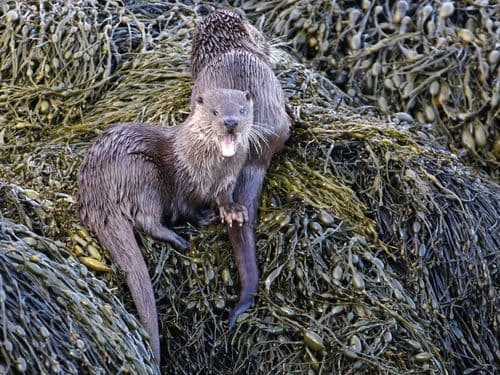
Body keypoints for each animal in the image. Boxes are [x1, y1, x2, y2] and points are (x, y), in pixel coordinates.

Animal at [77, 87, 254, 358]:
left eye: (242, 110)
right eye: (215, 112)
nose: (231, 122)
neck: (211, 171)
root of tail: (96, 196)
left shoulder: (228, 180)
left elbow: (225, 198)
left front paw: (234, 211)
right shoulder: (185, 182)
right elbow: (186, 209)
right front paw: (204, 217)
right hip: (142, 172)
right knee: (145, 219)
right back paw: (178, 239)